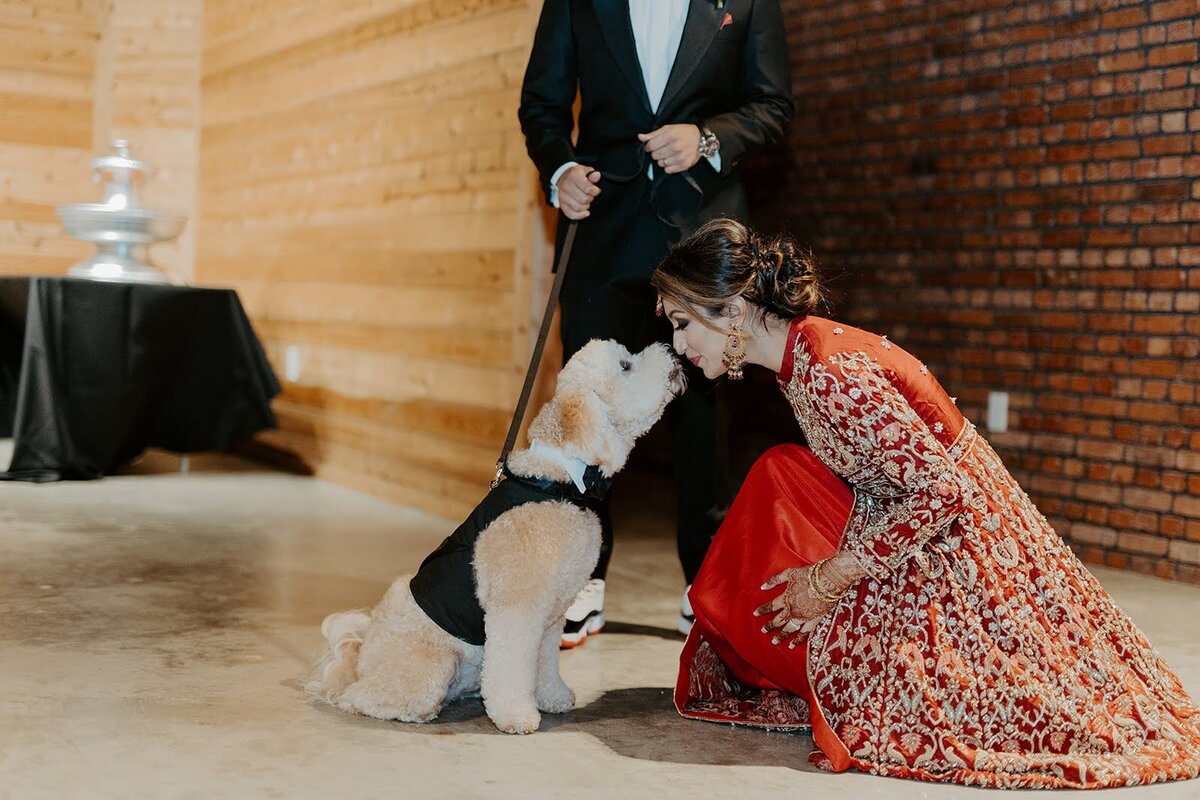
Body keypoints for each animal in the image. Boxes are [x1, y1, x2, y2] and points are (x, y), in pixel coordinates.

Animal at [307, 338, 686, 734]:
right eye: (626, 365)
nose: (672, 351)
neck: (560, 483)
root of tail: (359, 659)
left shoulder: (551, 616)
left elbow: (545, 663)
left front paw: (552, 696)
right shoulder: (517, 610)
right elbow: (512, 669)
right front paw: (517, 715)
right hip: (430, 667)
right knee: (361, 698)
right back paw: (409, 710)